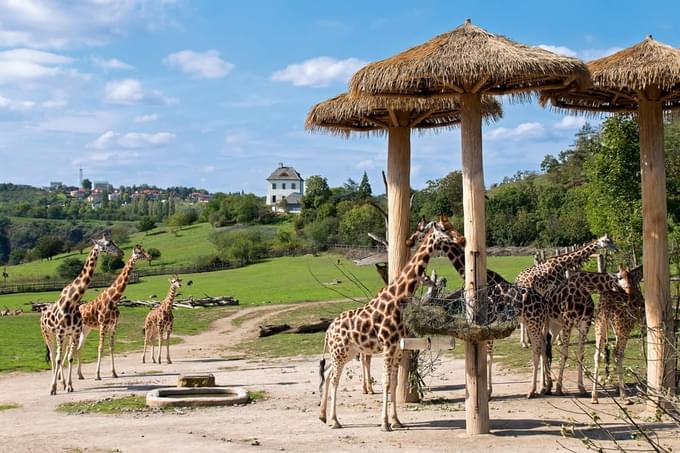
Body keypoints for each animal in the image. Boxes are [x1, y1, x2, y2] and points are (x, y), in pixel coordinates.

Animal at [40, 235, 123, 394]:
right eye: (107, 244)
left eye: (114, 242)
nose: (120, 253)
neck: (72, 302)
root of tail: (42, 314)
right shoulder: (60, 332)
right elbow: (59, 358)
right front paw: (53, 388)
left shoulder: (74, 332)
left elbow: (70, 357)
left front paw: (69, 386)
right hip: (48, 334)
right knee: (53, 356)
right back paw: (53, 384)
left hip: (65, 336)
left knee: (61, 355)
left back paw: (63, 383)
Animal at [76, 244, 152, 378]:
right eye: (139, 252)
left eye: (145, 250)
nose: (149, 257)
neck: (113, 299)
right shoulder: (103, 324)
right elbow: (100, 347)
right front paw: (97, 375)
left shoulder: (113, 325)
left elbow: (111, 347)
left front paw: (114, 373)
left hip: (86, 328)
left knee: (79, 348)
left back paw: (80, 375)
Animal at [318, 219, 462, 430]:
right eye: (444, 229)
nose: (461, 239)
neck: (398, 297)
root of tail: (328, 330)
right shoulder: (387, 345)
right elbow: (386, 382)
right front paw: (385, 423)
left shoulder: (397, 347)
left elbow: (393, 383)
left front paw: (396, 420)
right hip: (340, 352)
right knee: (335, 378)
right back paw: (335, 420)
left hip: (347, 352)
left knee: (328, 374)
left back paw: (322, 416)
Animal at [588, 264, 644, 402]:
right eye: (619, 277)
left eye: (628, 276)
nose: (628, 288)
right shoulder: (641, 323)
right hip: (622, 328)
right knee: (618, 353)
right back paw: (624, 395)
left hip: (600, 326)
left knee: (597, 354)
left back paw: (594, 396)